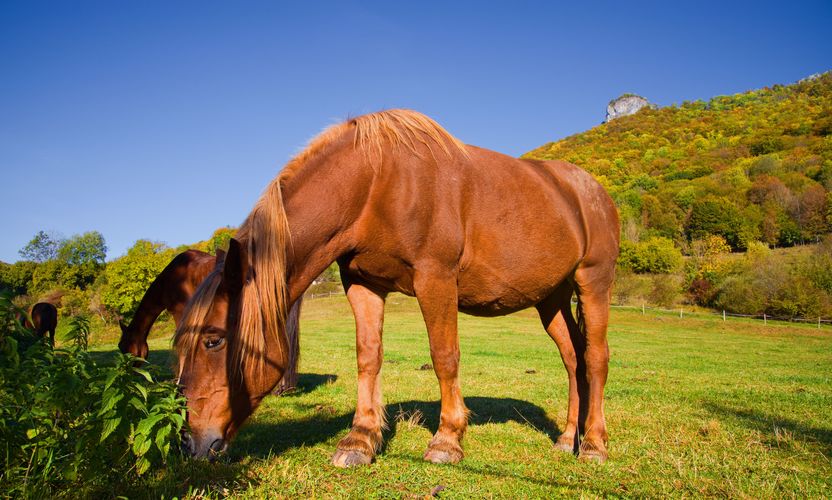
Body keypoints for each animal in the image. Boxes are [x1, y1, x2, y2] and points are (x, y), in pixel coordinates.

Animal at [174, 108, 616, 464]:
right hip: (551, 299)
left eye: (213, 340)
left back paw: (594, 445)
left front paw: (447, 440)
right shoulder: (363, 284)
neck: (376, 183)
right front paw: (360, 439)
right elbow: (368, 356)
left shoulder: (435, 279)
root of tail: (591, 190)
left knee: (595, 358)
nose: (190, 442)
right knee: (573, 360)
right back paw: (567, 439)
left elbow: (444, 356)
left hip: (593, 283)